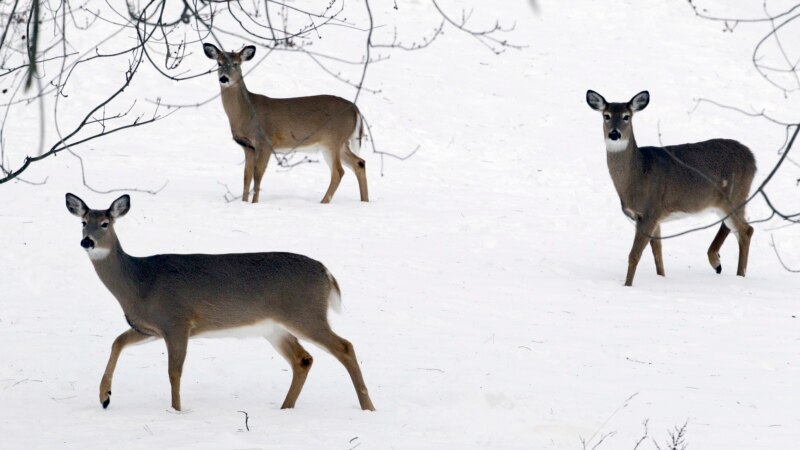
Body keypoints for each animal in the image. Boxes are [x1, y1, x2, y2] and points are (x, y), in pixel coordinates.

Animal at [65, 193, 375, 411]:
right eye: (83, 222)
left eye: (105, 224)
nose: (87, 242)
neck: (140, 282)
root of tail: (327, 273)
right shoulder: (151, 328)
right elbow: (117, 341)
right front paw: (104, 396)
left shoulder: (177, 320)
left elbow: (174, 372)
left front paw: (176, 411)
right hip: (274, 327)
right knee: (303, 359)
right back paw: (285, 408)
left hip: (305, 313)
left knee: (345, 347)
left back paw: (367, 407)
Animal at [203, 43, 369, 204]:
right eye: (219, 63)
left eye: (236, 64)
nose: (224, 78)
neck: (247, 112)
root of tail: (355, 109)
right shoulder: (248, 146)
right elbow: (246, 176)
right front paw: (243, 203)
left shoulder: (265, 142)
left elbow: (257, 174)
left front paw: (254, 204)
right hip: (340, 142)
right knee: (359, 163)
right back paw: (364, 201)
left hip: (332, 140)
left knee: (338, 172)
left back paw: (323, 202)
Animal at [585, 90, 757, 286]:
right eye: (606, 116)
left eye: (626, 116)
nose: (614, 133)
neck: (638, 175)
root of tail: (753, 159)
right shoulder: (655, 217)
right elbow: (657, 253)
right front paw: (661, 277)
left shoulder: (650, 211)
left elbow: (634, 255)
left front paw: (627, 285)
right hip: (725, 201)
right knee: (733, 227)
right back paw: (717, 263)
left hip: (735, 195)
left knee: (746, 231)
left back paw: (739, 275)